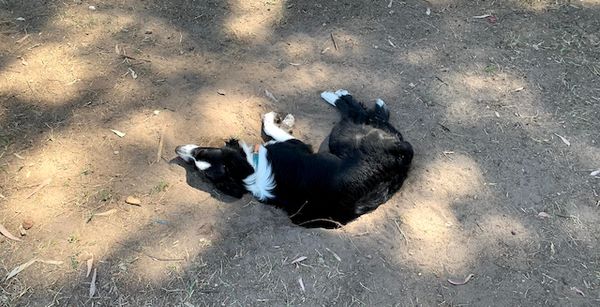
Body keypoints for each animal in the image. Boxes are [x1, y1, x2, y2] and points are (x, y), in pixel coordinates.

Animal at [178, 89, 412, 229]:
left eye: (201, 152)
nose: (177, 150)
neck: (250, 172)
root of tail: (399, 160)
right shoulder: (298, 145)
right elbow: (272, 128)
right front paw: (274, 119)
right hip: (342, 135)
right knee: (359, 112)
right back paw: (336, 95)